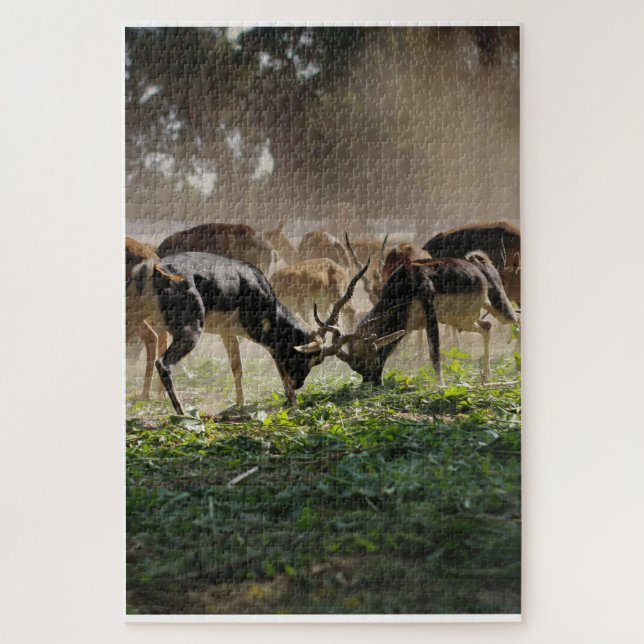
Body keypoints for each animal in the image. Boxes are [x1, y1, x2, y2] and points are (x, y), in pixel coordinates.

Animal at [127, 252, 398, 415]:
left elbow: (237, 367)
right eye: (313, 359)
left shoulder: (228, 333)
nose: (299, 384)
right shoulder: (267, 338)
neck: (255, 287)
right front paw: (293, 403)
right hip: (190, 331)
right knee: (163, 363)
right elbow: (279, 368)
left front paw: (241, 404)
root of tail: (155, 269)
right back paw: (184, 415)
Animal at [297, 251, 517, 386]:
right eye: (354, 366)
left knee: (510, 321)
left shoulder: (429, 310)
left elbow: (434, 352)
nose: (372, 382)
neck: (407, 282)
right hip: (461, 320)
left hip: (499, 312)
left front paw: (440, 386)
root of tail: (476, 266)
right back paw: (486, 375)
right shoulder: (407, 325)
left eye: (365, 359)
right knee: (487, 326)